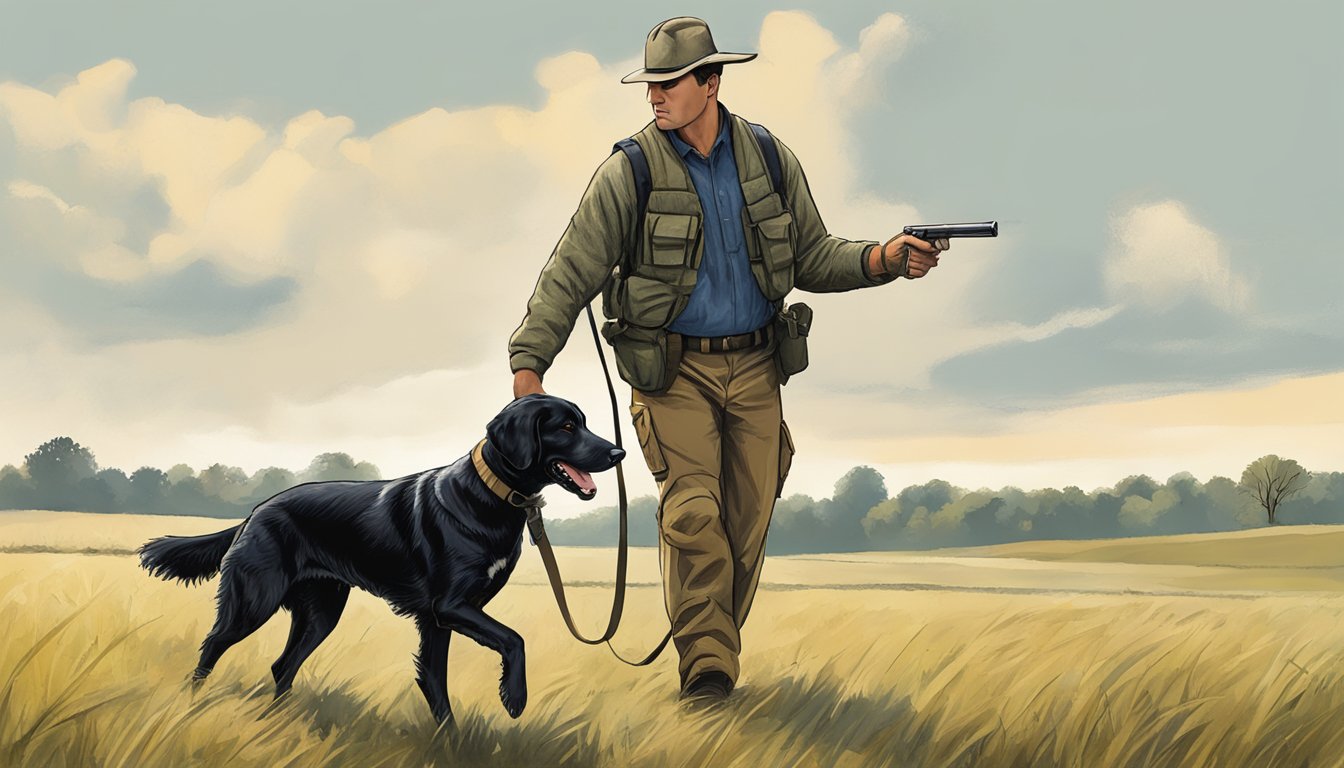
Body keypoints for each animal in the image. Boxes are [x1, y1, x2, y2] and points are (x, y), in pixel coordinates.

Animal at [139, 395, 620, 726]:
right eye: (567, 426)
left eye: (583, 422)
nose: (619, 453)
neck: (490, 494)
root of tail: (256, 511)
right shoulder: (449, 607)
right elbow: (513, 639)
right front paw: (514, 698)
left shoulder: (440, 618)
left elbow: (436, 681)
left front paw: (450, 738)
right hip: (253, 601)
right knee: (211, 648)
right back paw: (190, 707)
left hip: (321, 612)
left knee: (281, 665)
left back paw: (276, 723)